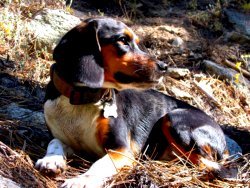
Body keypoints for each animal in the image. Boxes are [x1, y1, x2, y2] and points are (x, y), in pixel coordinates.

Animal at [35, 16, 242, 187]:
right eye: (122, 40)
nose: (164, 66)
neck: (83, 100)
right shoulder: (69, 141)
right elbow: (55, 141)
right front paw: (51, 159)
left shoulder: (121, 150)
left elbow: (99, 165)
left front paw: (81, 181)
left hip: (174, 119)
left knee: (215, 166)